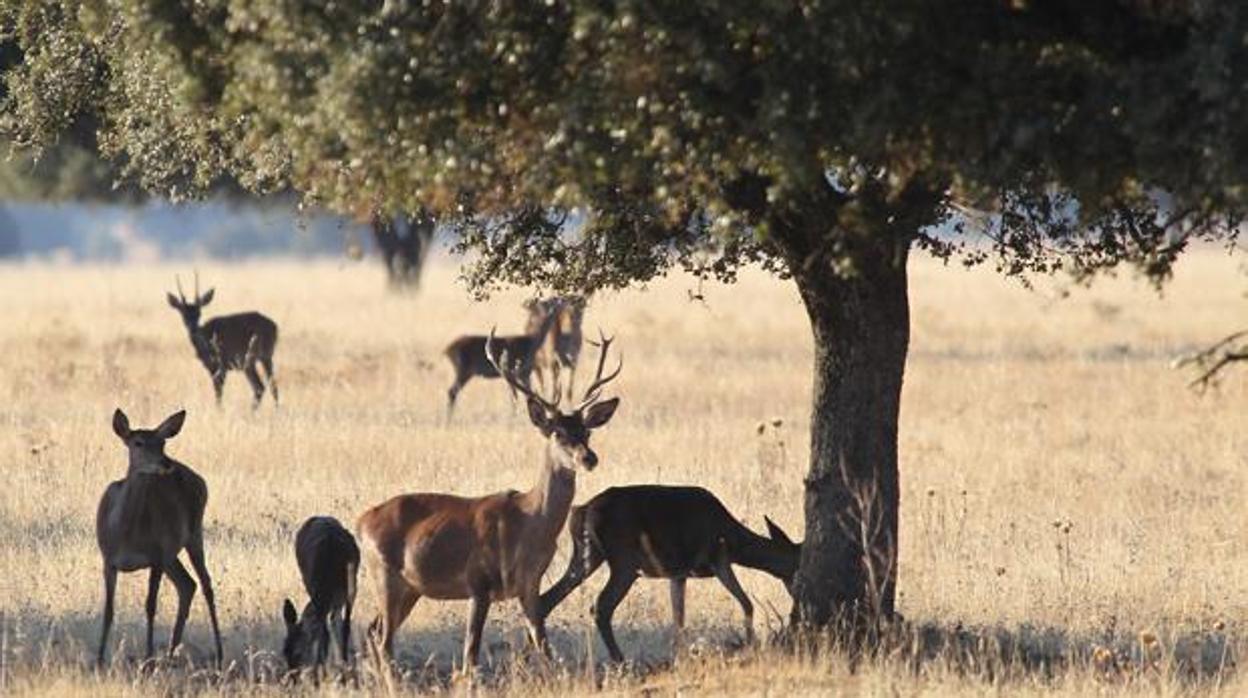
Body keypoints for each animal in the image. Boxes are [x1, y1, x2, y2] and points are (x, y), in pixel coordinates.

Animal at [97, 407, 227, 669]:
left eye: (162, 442)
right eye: (137, 442)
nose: (166, 463)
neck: (125, 534)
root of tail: (199, 478)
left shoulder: (155, 557)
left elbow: (150, 606)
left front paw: (148, 659)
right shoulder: (108, 559)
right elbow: (108, 610)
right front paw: (98, 659)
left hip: (193, 533)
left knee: (206, 584)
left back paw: (218, 653)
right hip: (171, 552)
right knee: (187, 584)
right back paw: (170, 652)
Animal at [167, 270, 279, 407]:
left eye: (199, 313)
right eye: (182, 313)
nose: (192, 328)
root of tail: (274, 326)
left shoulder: (222, 365)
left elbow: (218, 391)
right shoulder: (211, 367)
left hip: (250, 360)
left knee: (259, 387)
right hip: (265, 358)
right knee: (271, 385)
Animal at [280, 516, 359, 679]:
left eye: (298, 653)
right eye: (284, 651)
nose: (293, 678)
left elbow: (330, 630)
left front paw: (321, 672)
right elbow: (335, 626)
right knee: (336, 622)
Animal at [356, 332, 619, 674]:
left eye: (586, 432)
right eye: (558, 433)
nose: (589, 458)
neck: (528, 523)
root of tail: (361, 522)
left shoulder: (529, 584)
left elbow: (543, 643)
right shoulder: (478, 582)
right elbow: (471, 653)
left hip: (410, 588)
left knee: (373, 632)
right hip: (384, 576)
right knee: (384, 640)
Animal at [536, 484, 798, 664]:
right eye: (796, 562)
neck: (735, 541)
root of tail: (582, 511)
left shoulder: (678, 573)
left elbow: (678, 616)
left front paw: (681, 654)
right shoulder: (718, 558)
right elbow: (746, 603)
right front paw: (751, 643)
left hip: (587, 555)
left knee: (545, 599)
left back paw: (546, 655)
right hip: (624, 560)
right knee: (600, 606)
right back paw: (619, 659)